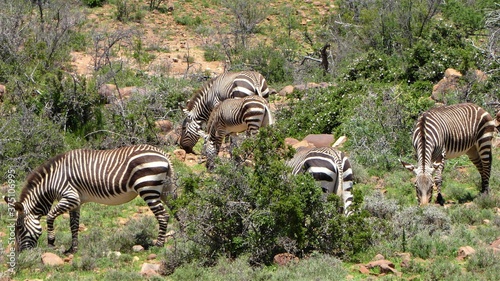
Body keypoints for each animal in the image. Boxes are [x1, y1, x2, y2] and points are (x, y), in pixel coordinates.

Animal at [3, 144, 175, 252]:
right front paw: (73, 249)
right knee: (176, 211)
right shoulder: (75, 202)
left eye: (19, 228)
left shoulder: (70, 197)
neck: (52, 182)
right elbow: (73, 225)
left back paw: (159, 245)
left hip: (148, 188)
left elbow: (50, 216)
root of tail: (163, 155)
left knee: (163, 216)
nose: (19, 253)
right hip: (166, 190)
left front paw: (51, 243)